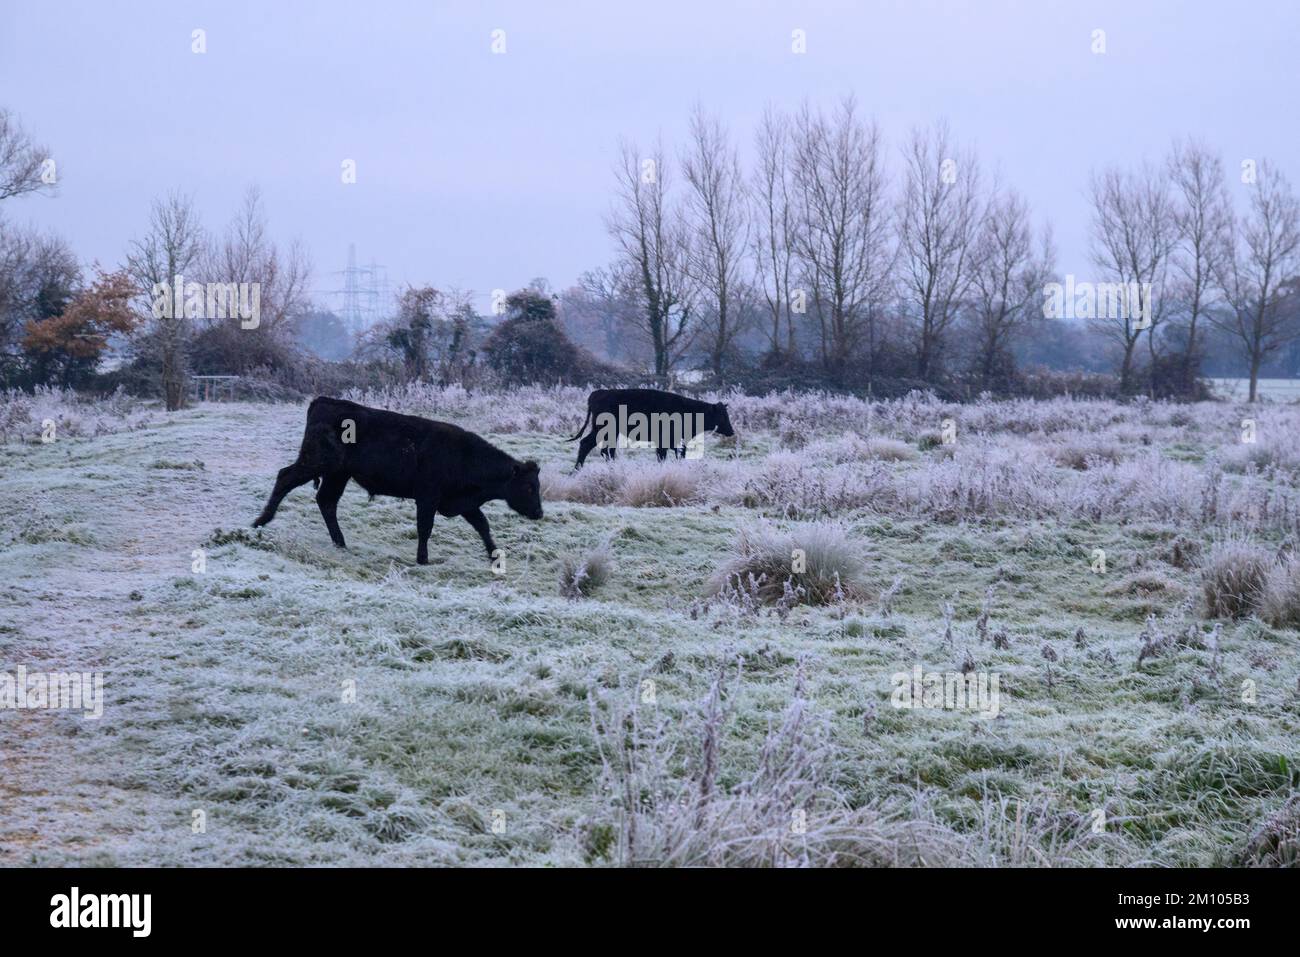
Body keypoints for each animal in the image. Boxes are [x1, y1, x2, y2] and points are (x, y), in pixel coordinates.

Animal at [253, 395, 543, 564]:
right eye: (529, 487)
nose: (539, 513)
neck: (464, 455)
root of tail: (322, 401)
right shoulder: (427, 497)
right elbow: (425, 528)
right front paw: (423, 559)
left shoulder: (463, 502)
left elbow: (482, 525)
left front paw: (494, 555)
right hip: (316, 463)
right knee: (285, 478)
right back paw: (261, 520)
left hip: (337, 475)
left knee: (326, 501)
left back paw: (340, 542)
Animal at [566, 384, 738, 468]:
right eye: (722, 415)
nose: (731, 431)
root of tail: (598, 393)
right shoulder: (664, 442)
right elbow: (663, 456)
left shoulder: (676, 442)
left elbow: (679, 455)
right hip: (602, 429)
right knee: (589, 445)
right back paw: (577, 470)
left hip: (609, 432)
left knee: (605, 450)